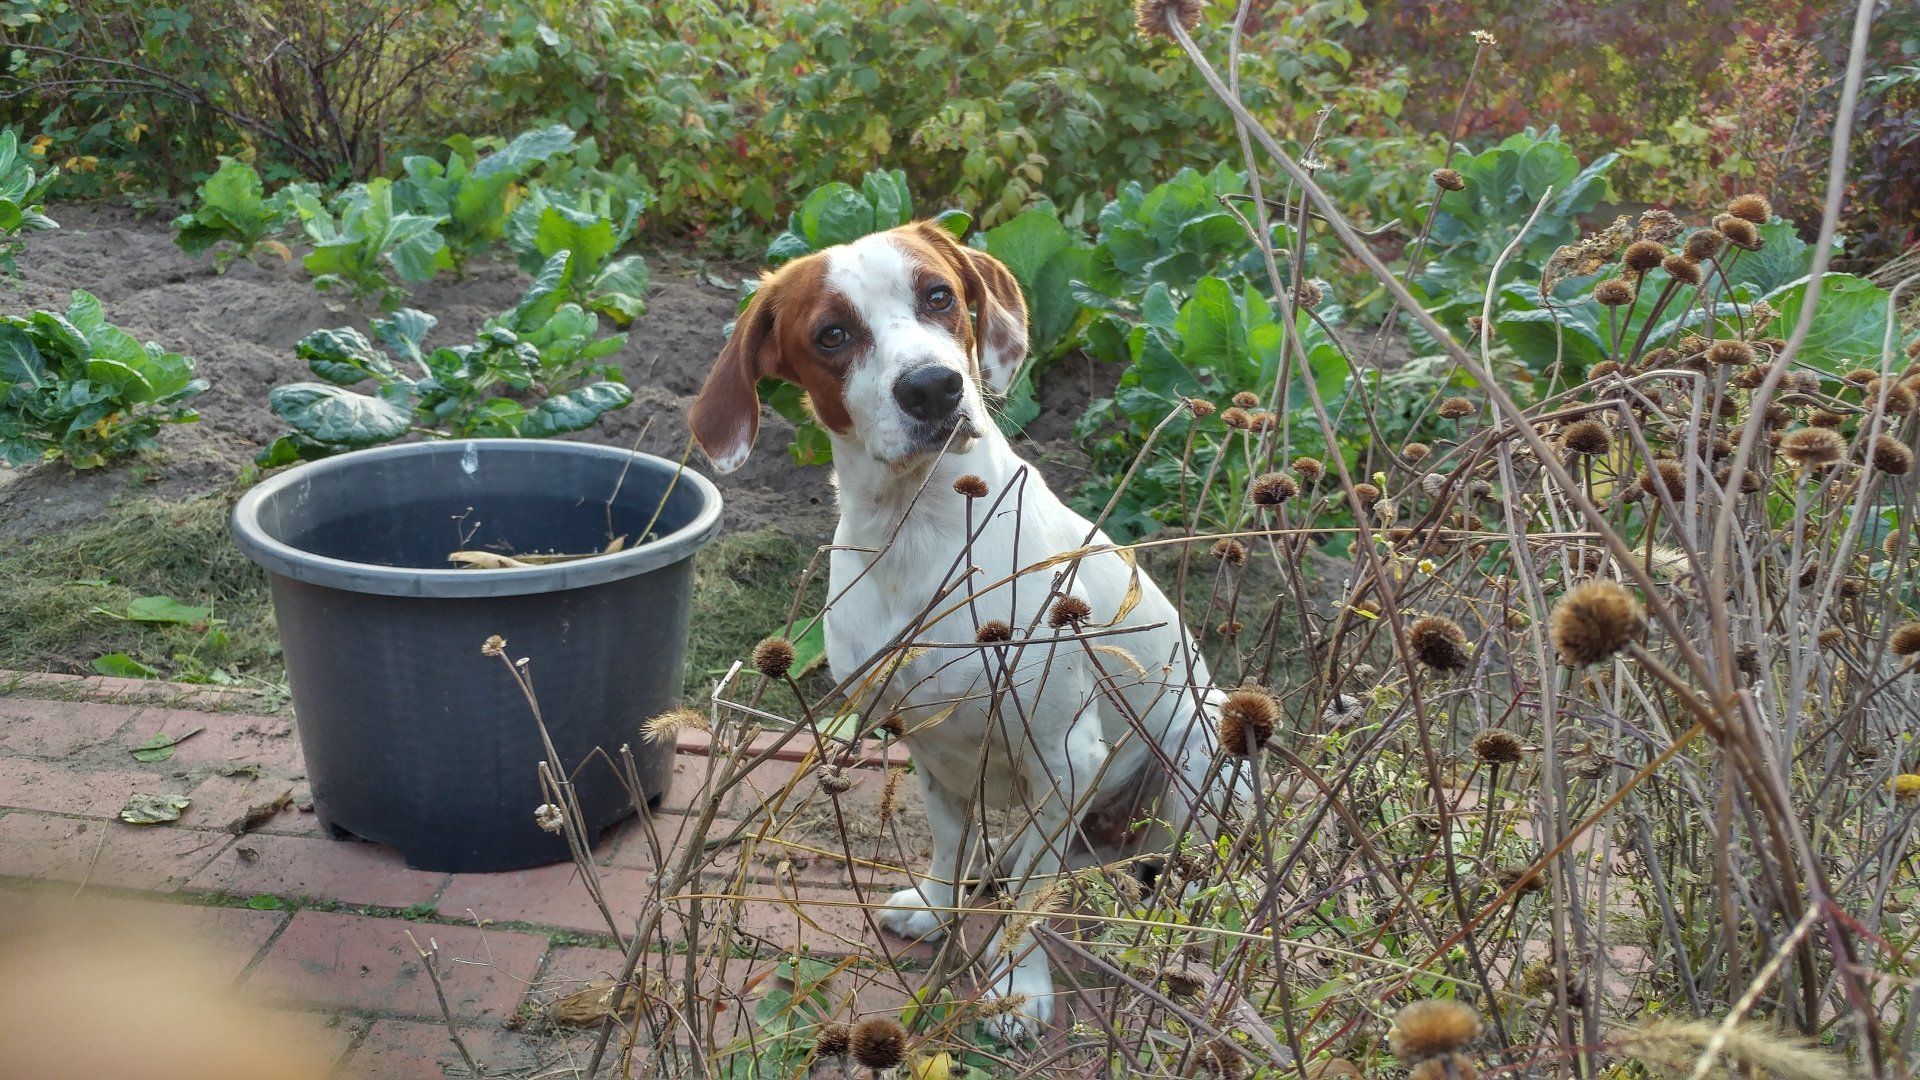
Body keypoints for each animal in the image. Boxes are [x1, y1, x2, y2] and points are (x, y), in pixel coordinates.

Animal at [690, 220, 1236, 1041]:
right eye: (831, 334)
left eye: (939, 296)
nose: (932, 386)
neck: (923, 539)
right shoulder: (927, 746)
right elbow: (952, 844)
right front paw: (938, 906)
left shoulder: (1065, 756)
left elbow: (1030, 901)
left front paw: (1016, 986)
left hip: (1206, 750)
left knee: (1182, 866)